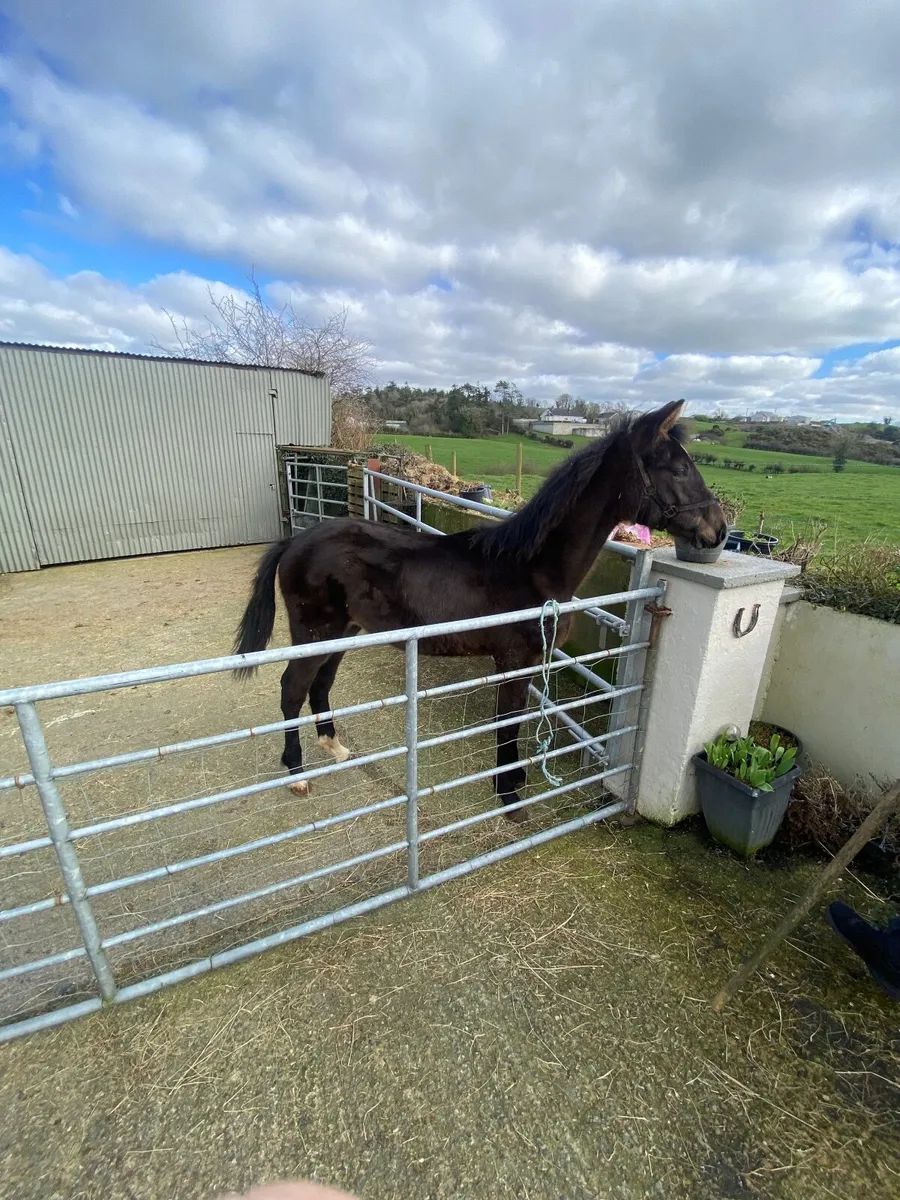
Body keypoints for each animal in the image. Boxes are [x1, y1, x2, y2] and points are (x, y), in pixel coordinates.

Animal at [232, 399, 726, 817]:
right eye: (679, 468)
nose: (718, 531)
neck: (531, 567)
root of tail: (296, 542)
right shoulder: (512, 660)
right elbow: (507, 722)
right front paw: (509, 795)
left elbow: (517, 720)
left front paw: (515, 781)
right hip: (312, 632)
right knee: (292, 689)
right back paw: (296, 774)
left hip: (342, 632)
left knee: (320, 685)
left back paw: (334, 748)